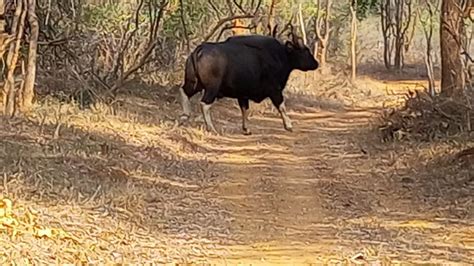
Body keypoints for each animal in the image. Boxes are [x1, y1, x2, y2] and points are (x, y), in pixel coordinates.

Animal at [180, 28, 320, 134]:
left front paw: (246, 128)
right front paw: (289, 125)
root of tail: (199, 50)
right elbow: (281, 106)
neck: (281, 55)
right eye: (306, 50)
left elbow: (245, 109)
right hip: (212, 88)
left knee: (184, 91)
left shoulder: (243, 94)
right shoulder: (275, 90)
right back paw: (211, 128)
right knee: (204, 104)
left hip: (194, 83)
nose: (316, 63)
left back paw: (185, 115)